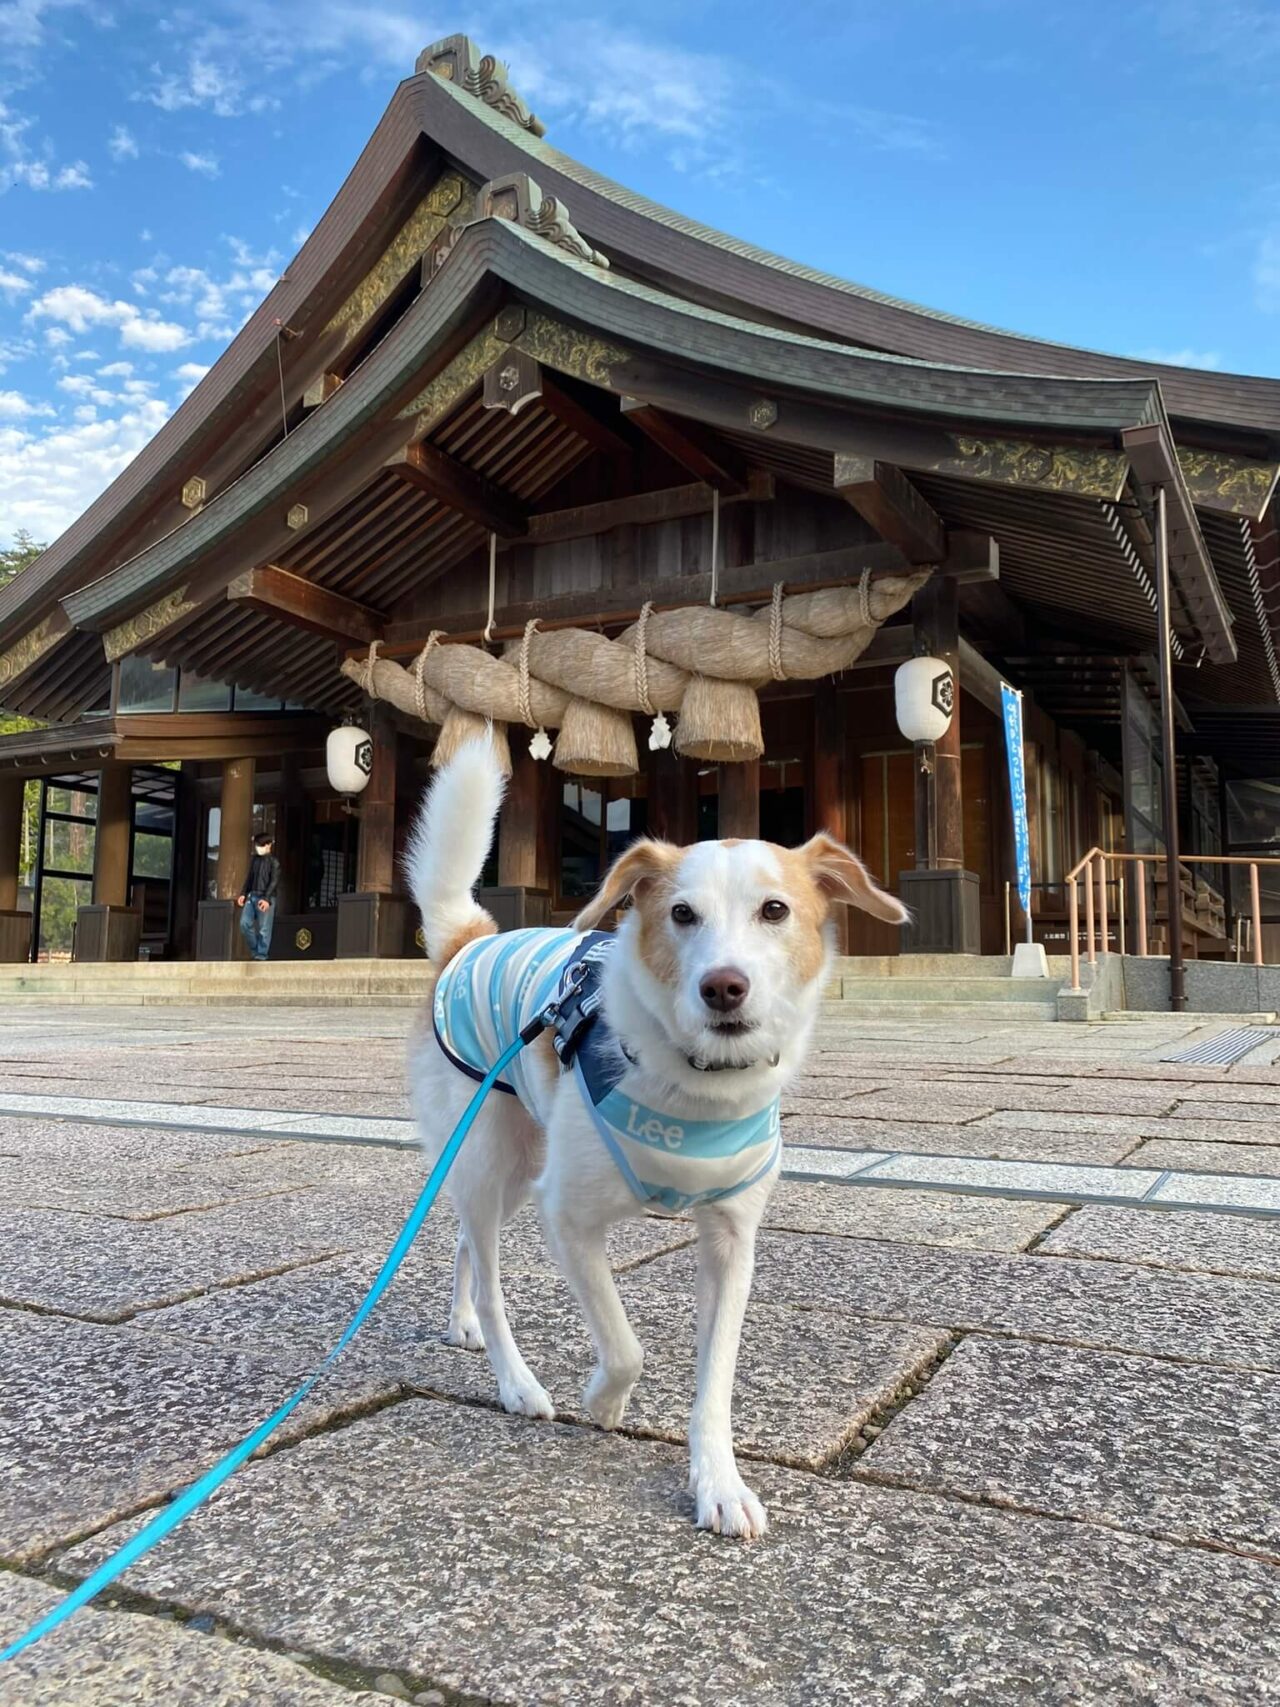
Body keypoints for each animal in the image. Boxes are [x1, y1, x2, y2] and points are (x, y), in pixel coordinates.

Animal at [406, 740, 907, 1543]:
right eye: (681, 913)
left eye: (775, 910)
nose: (723, 986)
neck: (695, 1083)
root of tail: (470, 939)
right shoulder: (569, 1219)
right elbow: (625, 1344)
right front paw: (604, 1402)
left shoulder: (732, 1240)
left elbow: (716, 1380)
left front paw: (719, 1482)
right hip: (493, 1157)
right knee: (486, 1271)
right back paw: (517, 1382)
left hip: (514, 1168)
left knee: (463, 1246)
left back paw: (463, 1327)